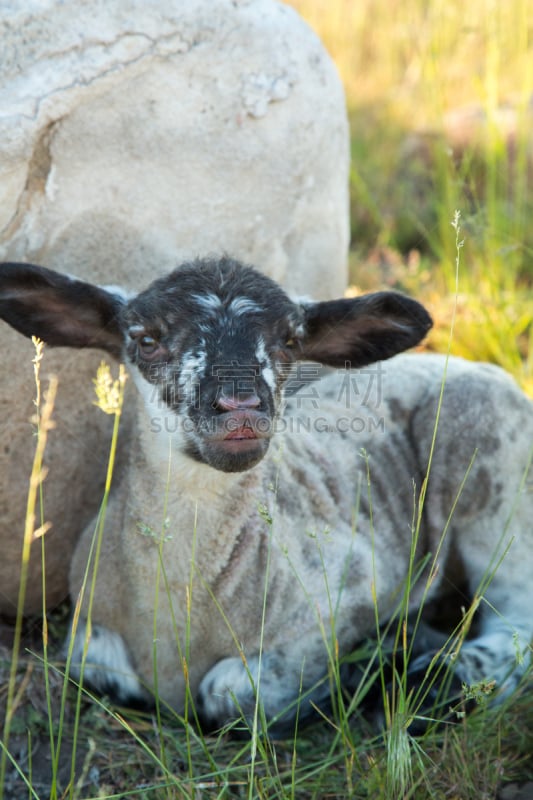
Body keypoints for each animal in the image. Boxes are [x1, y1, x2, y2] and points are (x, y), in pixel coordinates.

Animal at [1, 258, 532, 736]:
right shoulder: (88, 627)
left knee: (515, 614)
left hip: (493, 454)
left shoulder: (351, 590)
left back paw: (437, 682)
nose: (240, 407)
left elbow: (230, 694)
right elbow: (99, 667)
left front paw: (354, 668)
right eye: (146, 340)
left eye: (290, 341)